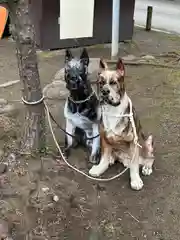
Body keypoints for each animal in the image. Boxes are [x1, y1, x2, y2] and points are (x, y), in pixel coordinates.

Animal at [89, 57, 155, 190]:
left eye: (114, 82)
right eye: (101, 83)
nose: (104, 92)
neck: (112, 110)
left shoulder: (134, 142)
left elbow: (134, 165)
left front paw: (135, 180)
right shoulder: (104, 138)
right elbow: (104, 158)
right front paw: (100, 168)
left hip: (147, 141)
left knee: (150, 157)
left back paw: (146, 167)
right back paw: (112, 158)